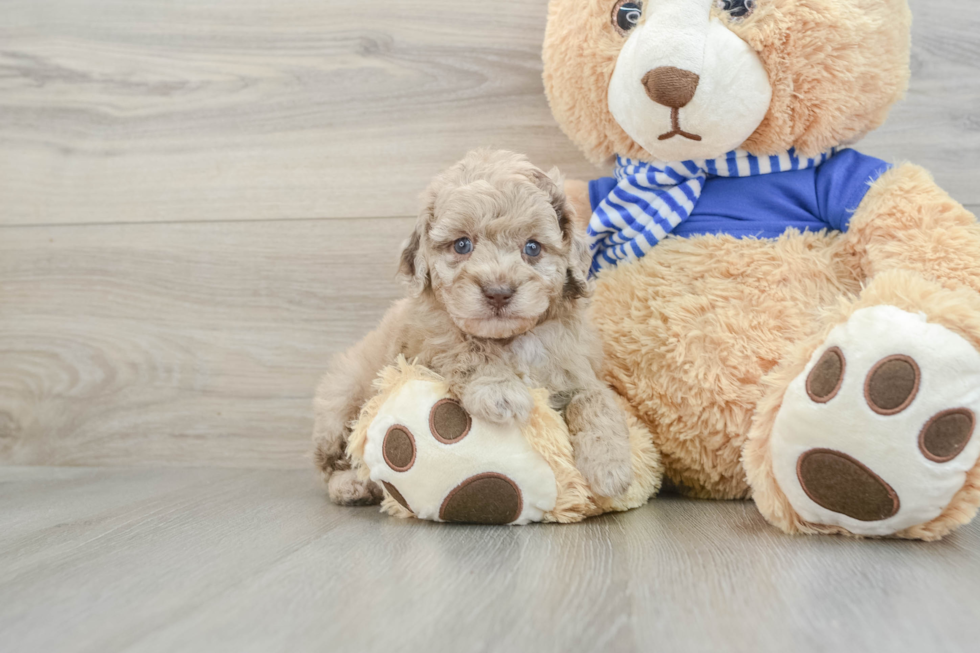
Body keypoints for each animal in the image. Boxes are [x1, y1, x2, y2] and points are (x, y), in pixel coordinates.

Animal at [314, 152, 636, 504]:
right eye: (462, 245)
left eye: (533, 248)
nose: (498, 292)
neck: (510, 339)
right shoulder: (429, 343)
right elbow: (467, 348)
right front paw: (499, 389)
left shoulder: (577, 368)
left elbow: (596, 400)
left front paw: (610, 465)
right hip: (342, 399)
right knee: (336, 456)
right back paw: (352, 485)